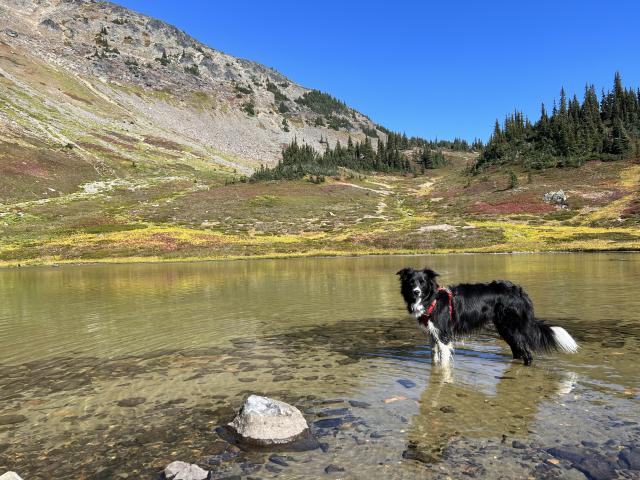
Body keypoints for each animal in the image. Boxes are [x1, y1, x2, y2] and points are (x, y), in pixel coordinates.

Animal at [398, 268, 576, 366]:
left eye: (422, 282)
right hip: (505, 329)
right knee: (518, 351)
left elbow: (443, 362)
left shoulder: (443, 335)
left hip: (512, 327)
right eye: (411, 282)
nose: (416, 292)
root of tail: (521, 292)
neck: (432, 299)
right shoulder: (432, 334)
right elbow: (434, 357)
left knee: (527, 354)